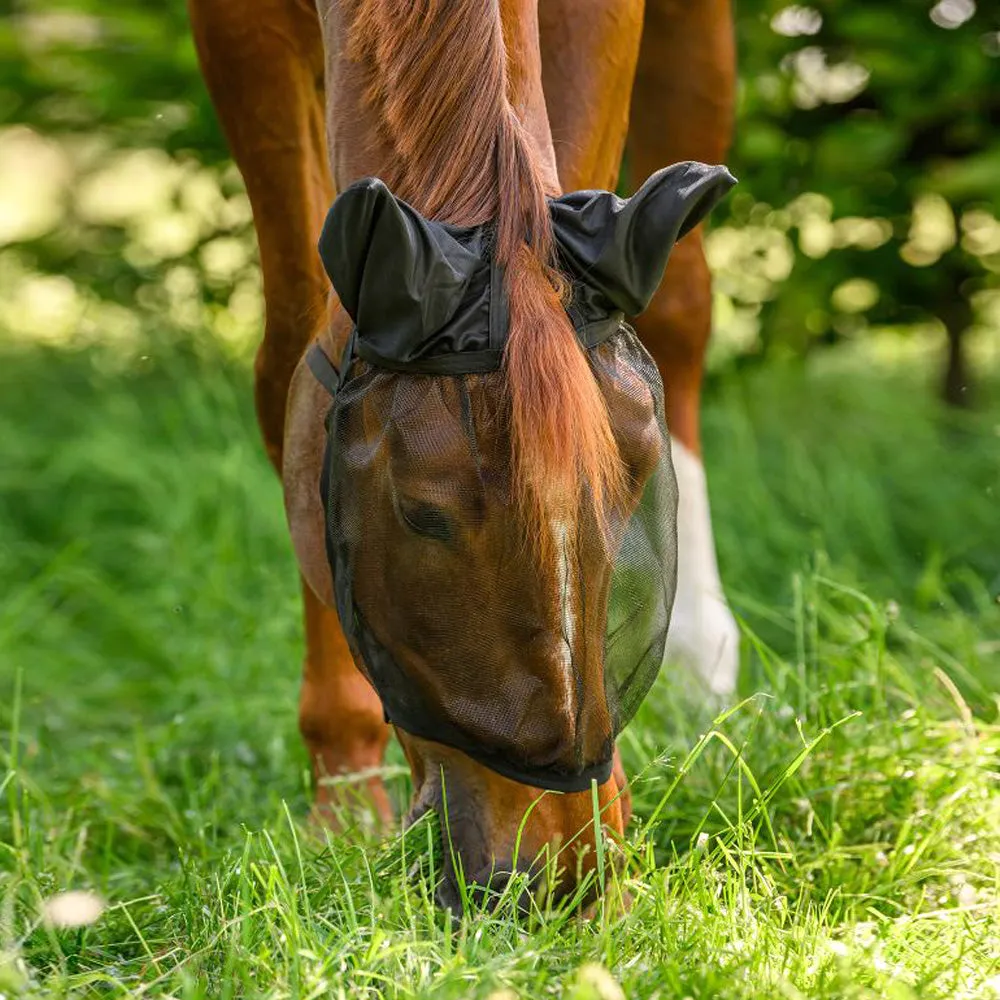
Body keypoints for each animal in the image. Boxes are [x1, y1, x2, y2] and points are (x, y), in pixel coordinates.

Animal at [188, 0, 736, 909]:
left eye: (633, 498)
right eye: (422, 517)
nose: (558, 876)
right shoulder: (237, 32)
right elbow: (288, 353)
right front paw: (344, 799)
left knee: (685, 304)